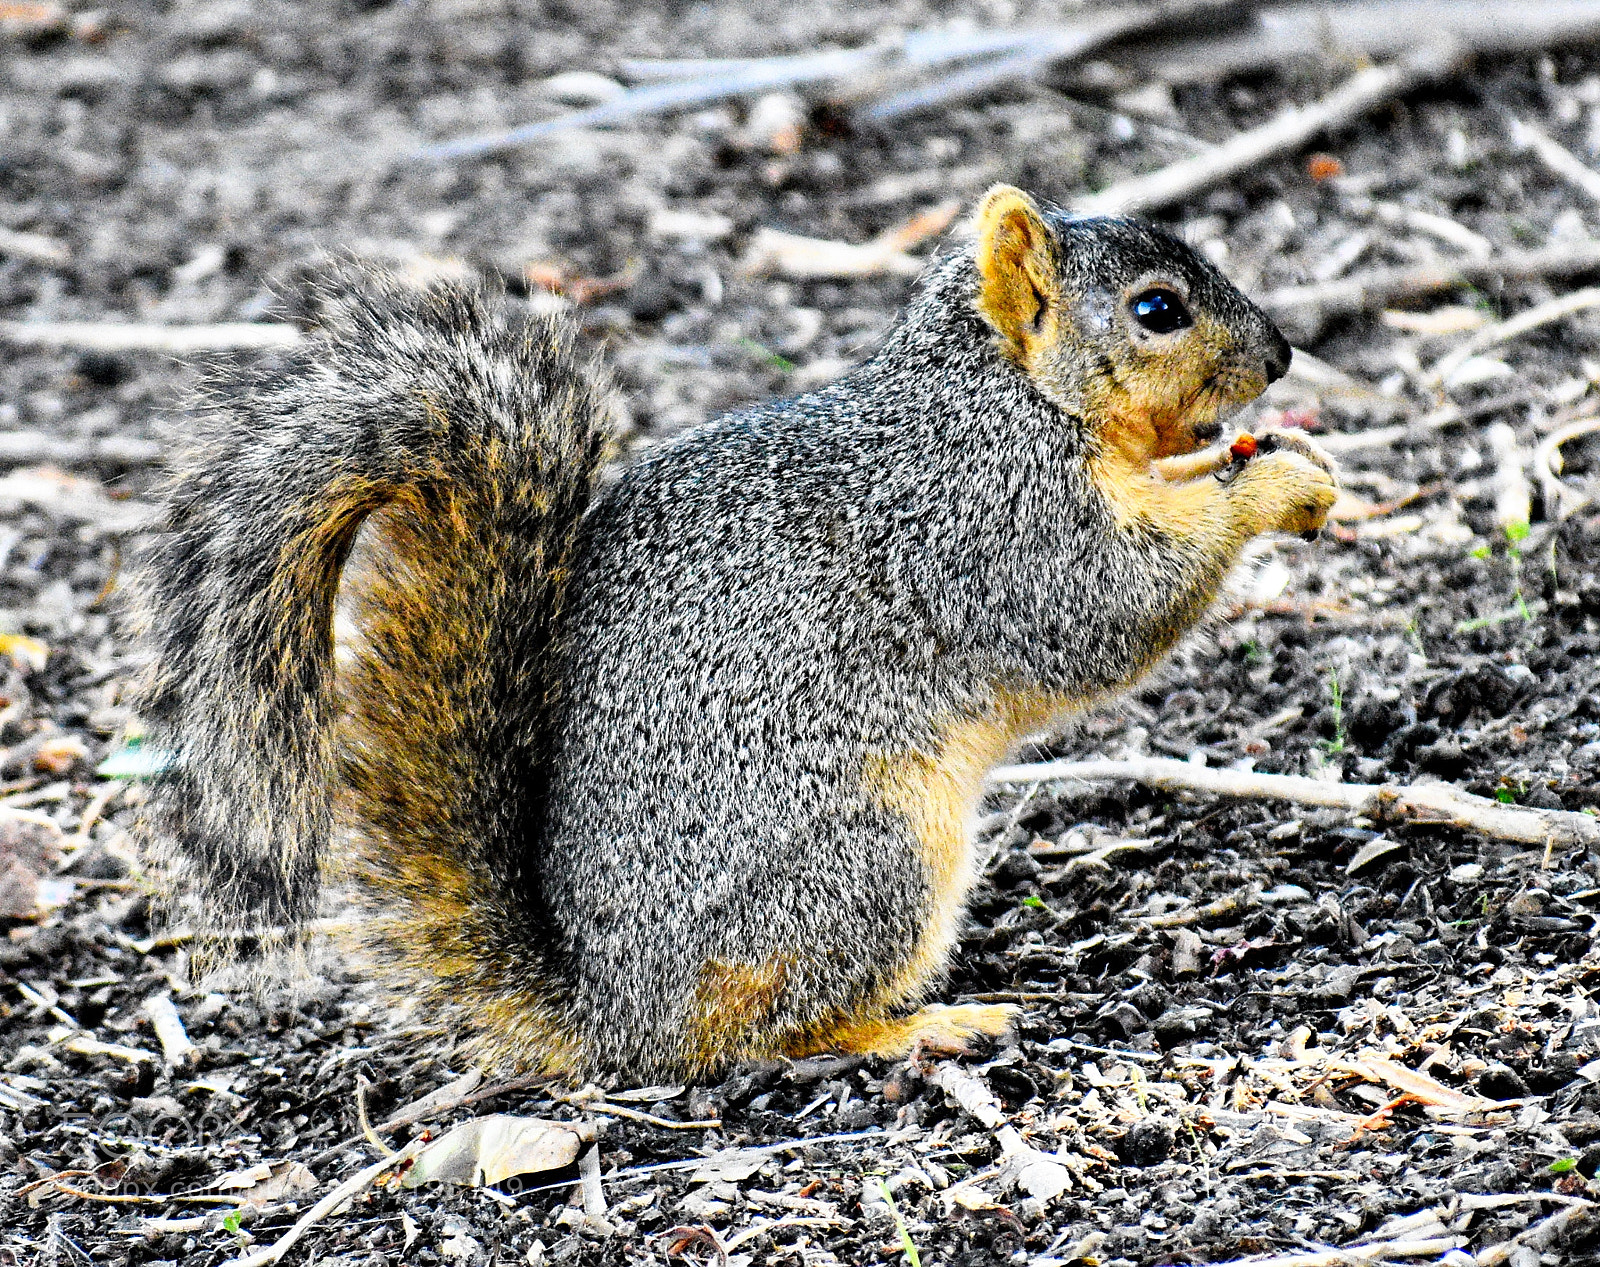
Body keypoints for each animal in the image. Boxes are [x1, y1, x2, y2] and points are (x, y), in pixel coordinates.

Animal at [132, 186, 1337, 1082]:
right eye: (1156, 310)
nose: (1282, 356)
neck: (1007, 398)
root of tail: (616, 1010)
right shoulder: (989, 526)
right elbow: (1108, 609)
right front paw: (1269, 487)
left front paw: (1275, 456)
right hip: (870, 854)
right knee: (772, 1031)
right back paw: (919, 1024)